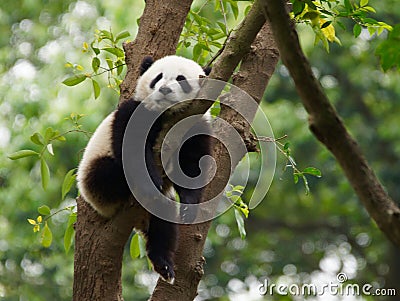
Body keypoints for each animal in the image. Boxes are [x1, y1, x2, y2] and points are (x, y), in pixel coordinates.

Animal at [75, 55, 212, 282]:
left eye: (181, 79)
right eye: (158, 77)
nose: (164, 90)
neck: (168, 116)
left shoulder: (195, 123)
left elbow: (192, 165)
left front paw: (188, 207)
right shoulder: (133, 113)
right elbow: (131, 148)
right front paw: (151, 181)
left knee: (164, 225)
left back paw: (163, 265)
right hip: (94, 180)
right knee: (106, 173)